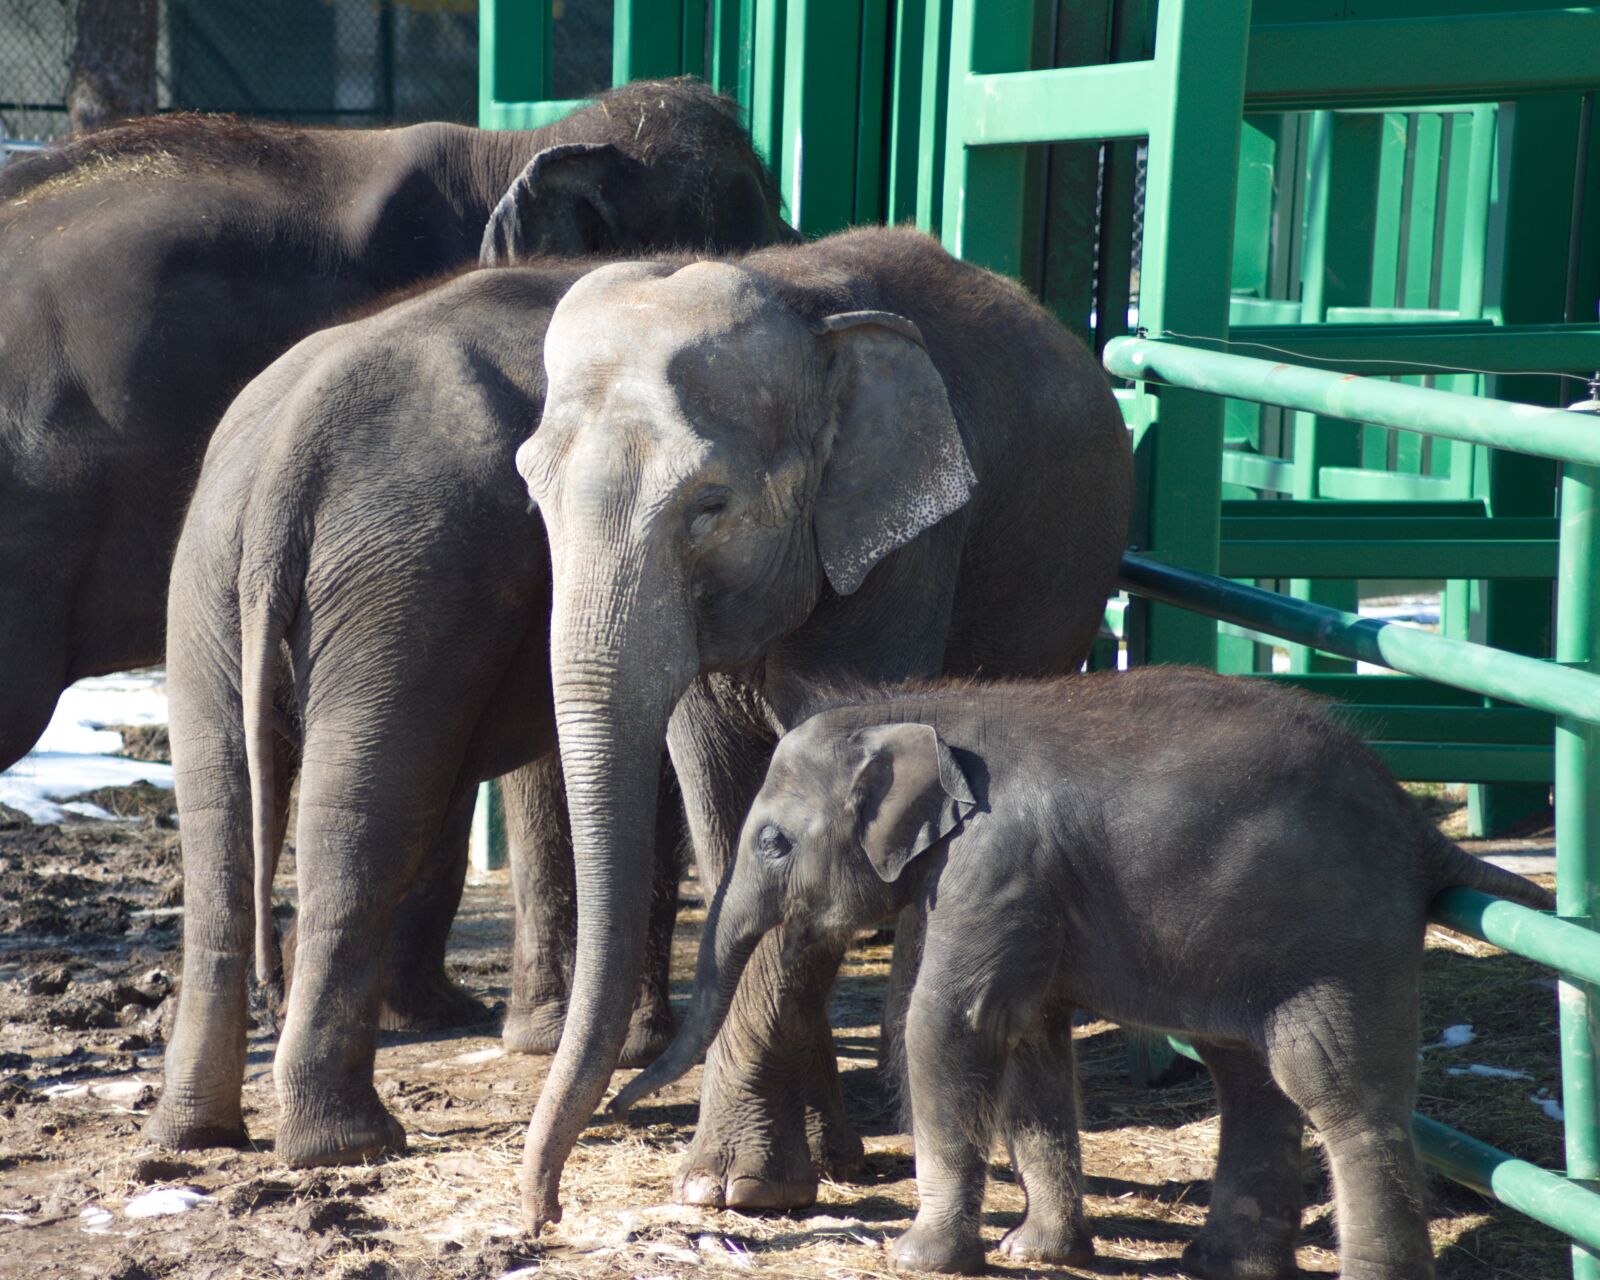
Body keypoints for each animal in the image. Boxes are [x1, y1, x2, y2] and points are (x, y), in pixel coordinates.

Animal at [145, 256, 696, 1164]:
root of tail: (287, 456)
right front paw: (635, 1046)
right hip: (404, 581)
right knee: (367, 817)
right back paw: (346, 1144)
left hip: (211, 584)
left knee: (221, 820)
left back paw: (193, 1137)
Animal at [512, 225, 1134, 1230]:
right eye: (532, 490)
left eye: (710, 506)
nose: (542, 1214)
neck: (798, 303)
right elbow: (728, 804)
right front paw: (754, 1175)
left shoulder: (906, 553)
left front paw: (739, 1187)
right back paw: (842, 1145)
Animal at [612, 668, 1556, 1278]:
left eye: (773, 842)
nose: (625, 1101)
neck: (925, 706)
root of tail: (1415, 822)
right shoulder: (1023, 894)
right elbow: (1031, 1041)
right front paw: (1037, 1253)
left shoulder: (995, 866)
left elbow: (949, 1025)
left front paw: (920, 1259)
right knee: (1249, 1075)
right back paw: (1222, 1263)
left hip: (1338, 937)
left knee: (1328, 1083)